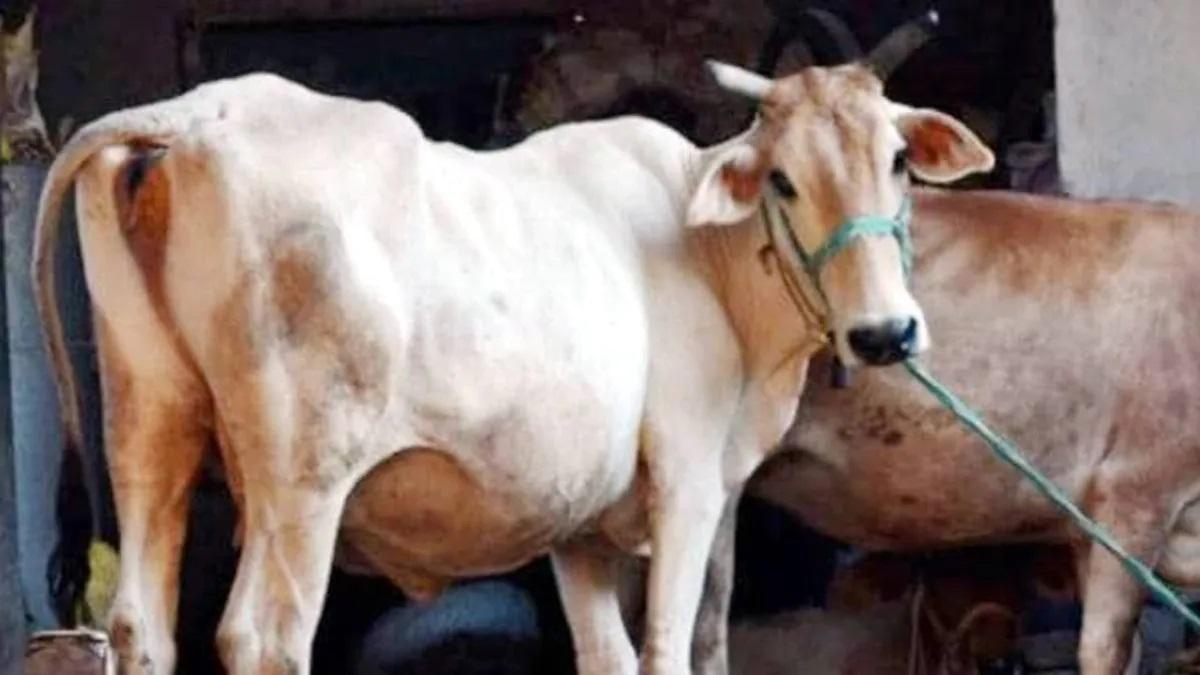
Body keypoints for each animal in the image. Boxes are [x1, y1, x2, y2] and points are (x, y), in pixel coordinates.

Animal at [32, 44, 991, 675]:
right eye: (784, 179)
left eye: (897, 159)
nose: (885, 332)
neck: (705, 248)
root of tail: (202, 111)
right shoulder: (690, 481)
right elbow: (671, 647)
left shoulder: (579, 524)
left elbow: (609, 656)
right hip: (303, 478)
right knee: (263, 636)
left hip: (149, 423)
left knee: (141, 627)